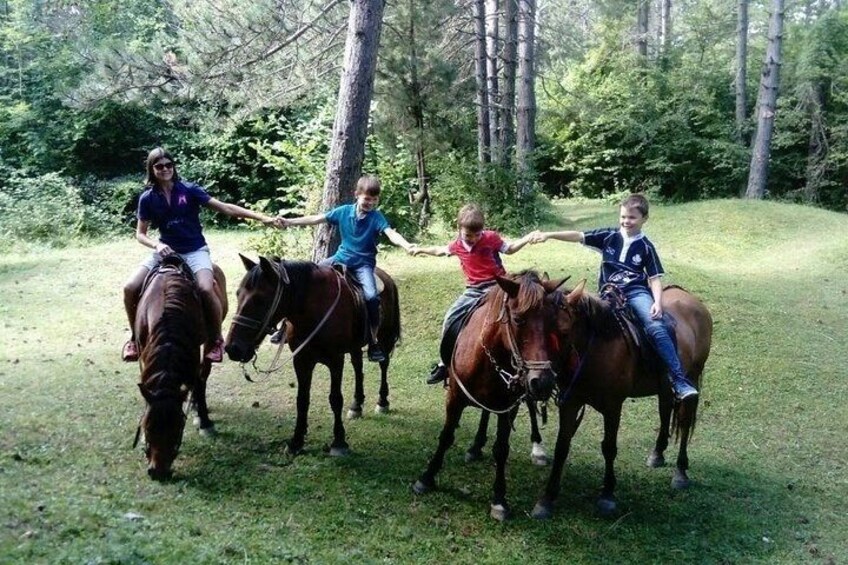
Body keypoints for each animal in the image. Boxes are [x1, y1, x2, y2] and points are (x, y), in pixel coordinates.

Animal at [132, 258, 227, 478]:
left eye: (177, 428)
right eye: (147, 427)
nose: (158, 472)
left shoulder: (192, 350)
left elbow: (198, 381)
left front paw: (205, 423)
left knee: (203, 377)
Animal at [222, 254, 400, 454]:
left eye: (260, 299)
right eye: (238, 294)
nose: (232, 348)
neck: (314, 310)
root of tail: (386, 278)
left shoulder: (335, 360)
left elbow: (335, 398)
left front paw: (339, 442)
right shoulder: (301, 360)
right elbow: (302, 399)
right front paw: (296, 441)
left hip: (384, 338)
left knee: (383, 365)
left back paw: (382, 402)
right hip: (355, 346)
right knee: (357, 367)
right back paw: (356, 405)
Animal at [414, 270, 568, 524]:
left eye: (550, 322)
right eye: (518, 319)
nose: (544, 382)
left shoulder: (508, 406)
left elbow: (502, 448)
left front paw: (499, 500)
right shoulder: (455, 397)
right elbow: (446, 437)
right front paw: (426, 478)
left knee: (530, 407)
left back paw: (537, 447)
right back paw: (476, 446)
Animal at [532, 280, 712, 516]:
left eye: (563, 332)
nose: (539, 380)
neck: (595, 349)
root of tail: (693, 300)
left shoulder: (612, 407)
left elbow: (609, 447)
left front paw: (607, 494)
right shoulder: (571, 403)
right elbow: (562, 446)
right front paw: (547, 498)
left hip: (691, 379)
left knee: (683, 422)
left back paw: (681, 472)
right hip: (665, 386)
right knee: (665, 411)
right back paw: (657, 453)